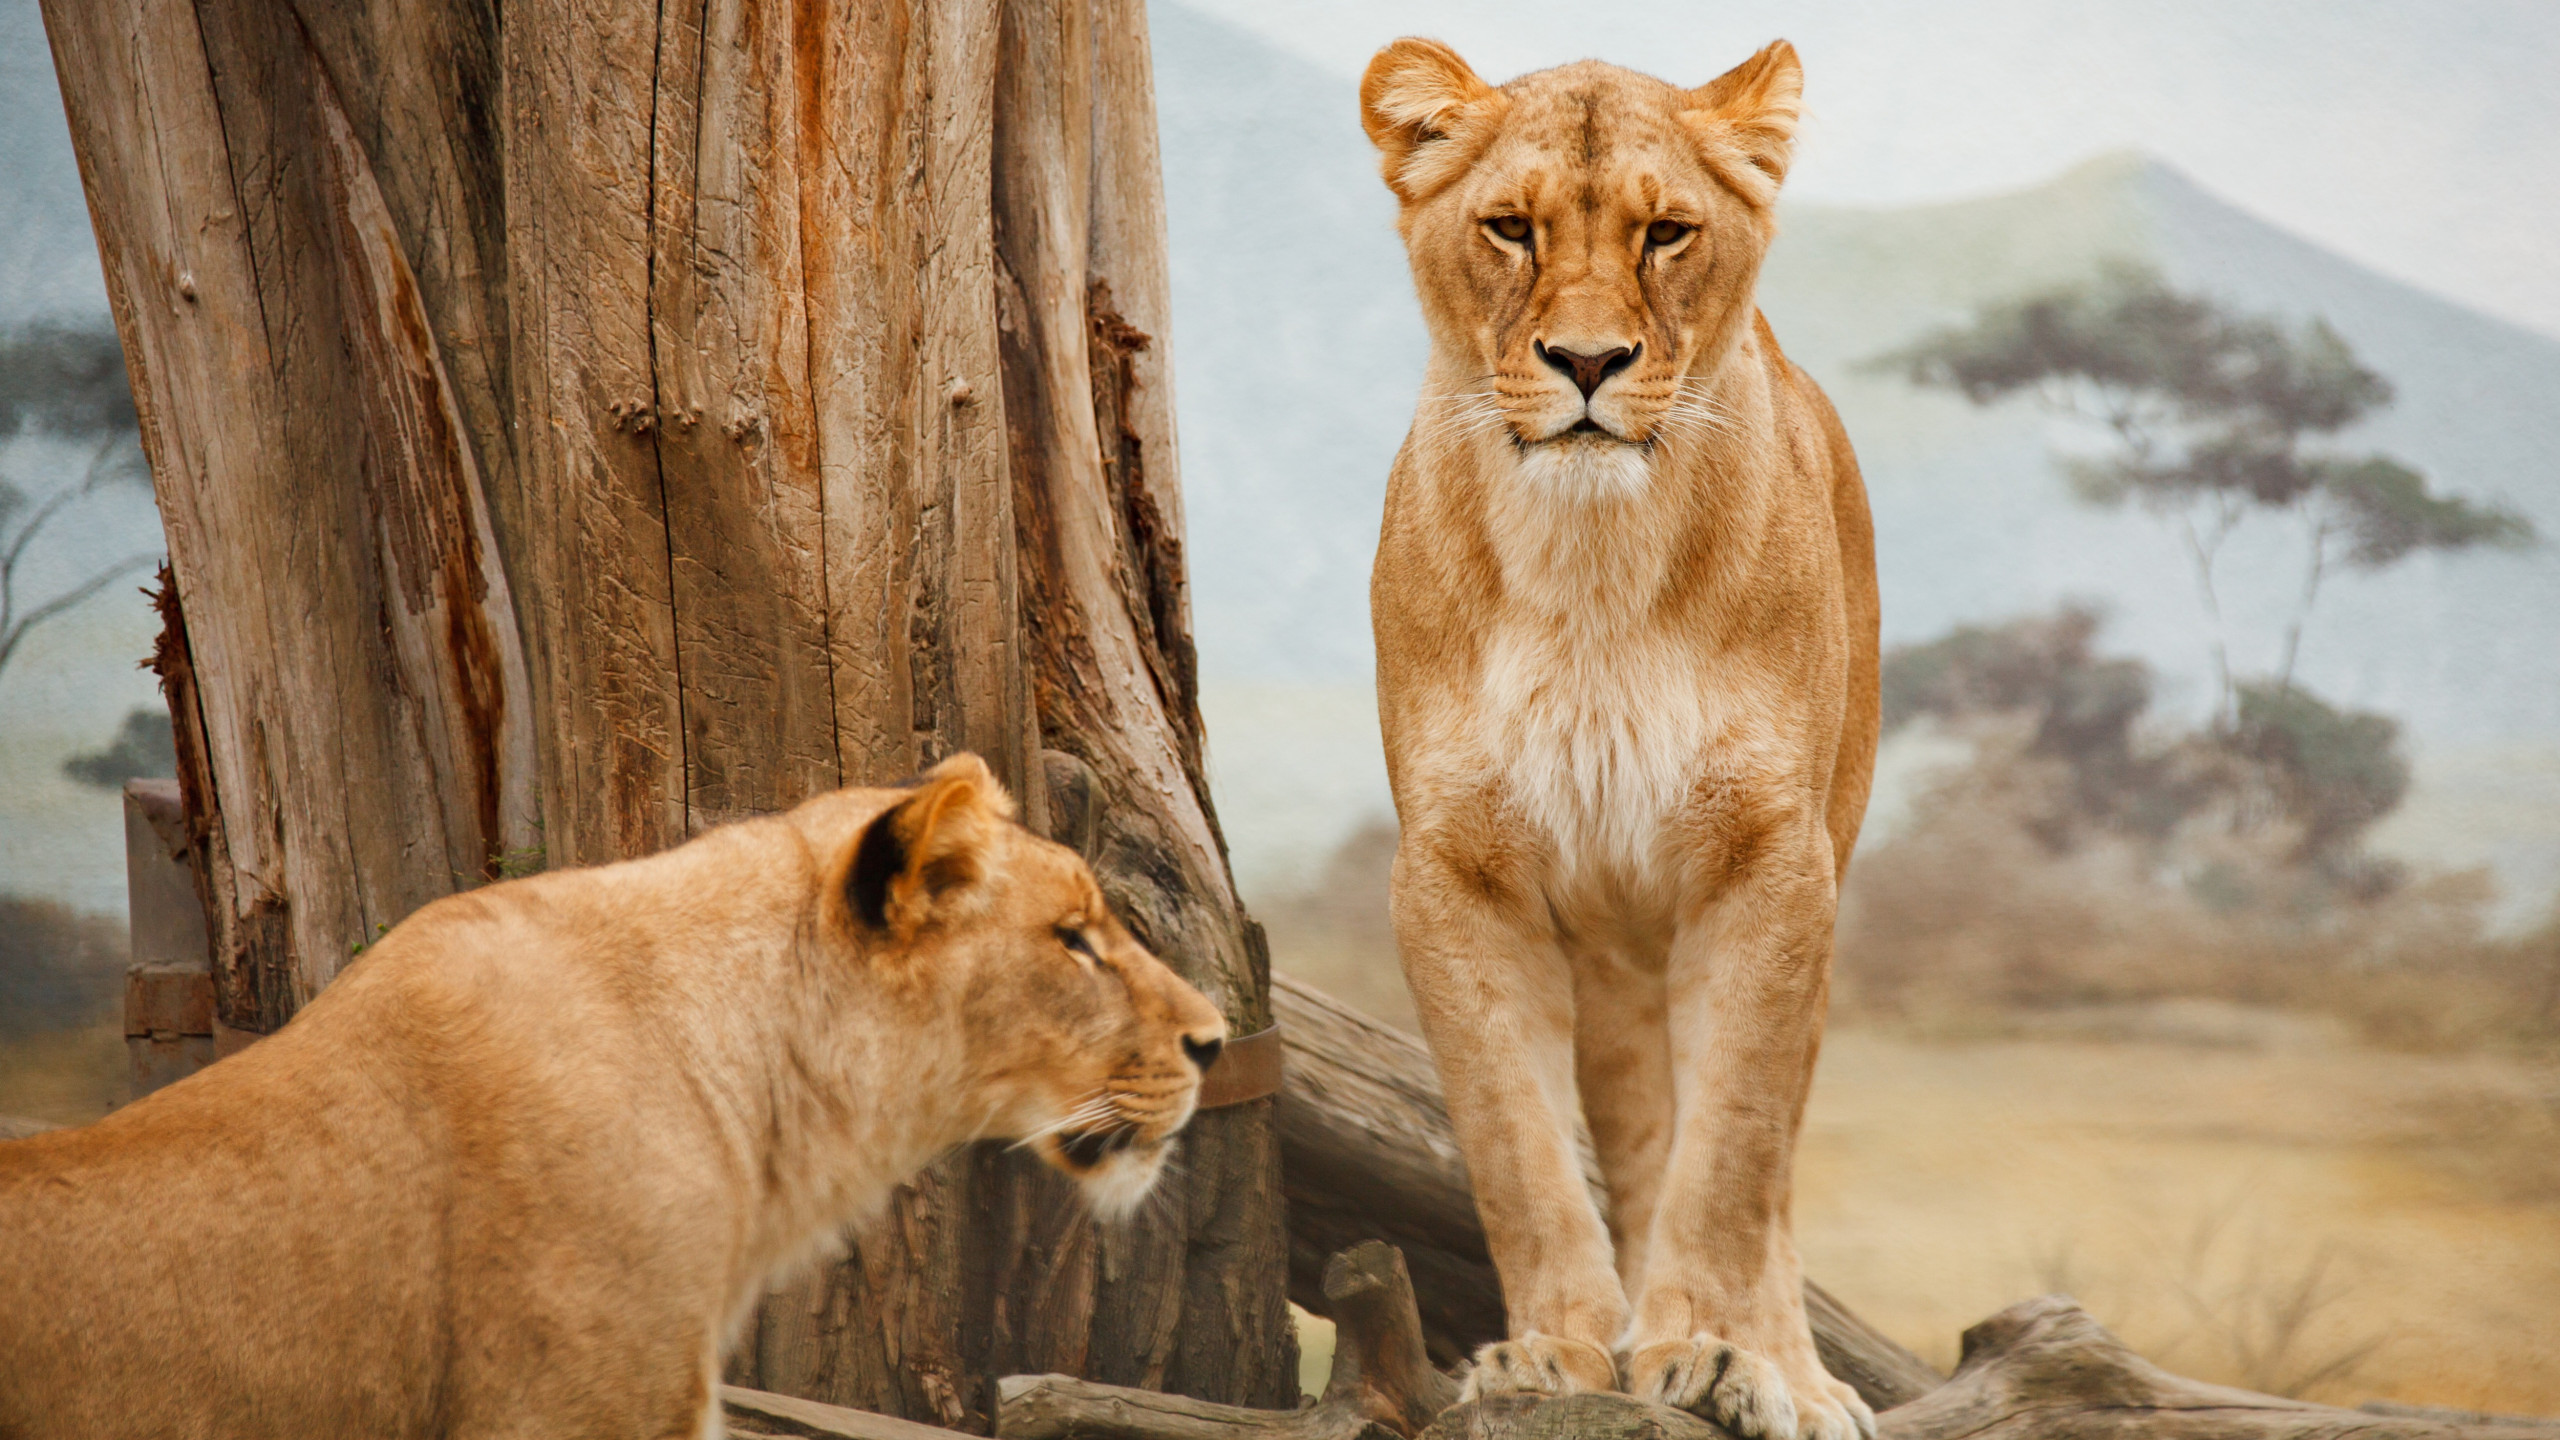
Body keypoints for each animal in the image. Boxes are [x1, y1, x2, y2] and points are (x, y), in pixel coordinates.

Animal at [1359, 38, 1882, 1440]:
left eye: (1665, 232)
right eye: (1508, 227)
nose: (1586, 362)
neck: (1590, 563)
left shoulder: (1770, 864)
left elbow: (1733, 1155)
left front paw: (1707, 1350)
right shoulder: (1455, 873)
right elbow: (1516, 1144)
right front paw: (1553, 1351)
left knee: (1770, 1166)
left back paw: (1793, 1375)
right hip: (1613, 952)